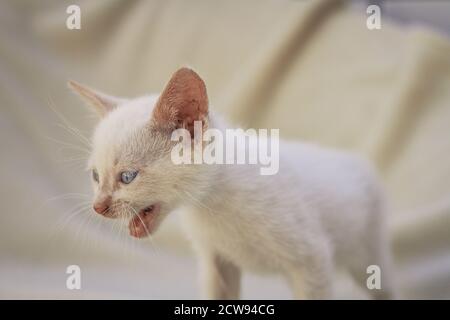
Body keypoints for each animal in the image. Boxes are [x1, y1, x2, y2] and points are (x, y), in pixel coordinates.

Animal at [68, 67, 396, 300]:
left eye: (127, 177)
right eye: (95, 176)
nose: (98, 207)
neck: (212, 205)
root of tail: (356, 159)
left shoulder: (312, 258)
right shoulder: (217, 263)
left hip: (369, 255)